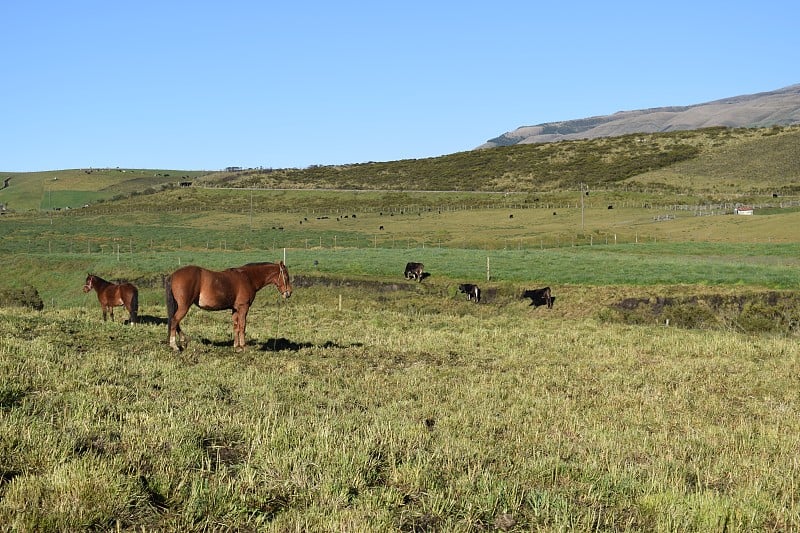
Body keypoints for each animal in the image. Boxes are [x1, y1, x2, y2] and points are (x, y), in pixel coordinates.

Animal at [166, 260, 294, 352]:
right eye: (286, 277)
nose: (289, 293)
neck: (248, 277)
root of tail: (173, 275)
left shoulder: (235, 309)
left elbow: (235, 326)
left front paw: (236, 346)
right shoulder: (243, 307)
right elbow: (242, 326)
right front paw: (243, 346)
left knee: (175, 322)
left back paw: (182, 340)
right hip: (184, 306)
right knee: (174, 321)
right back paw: (175, 346)